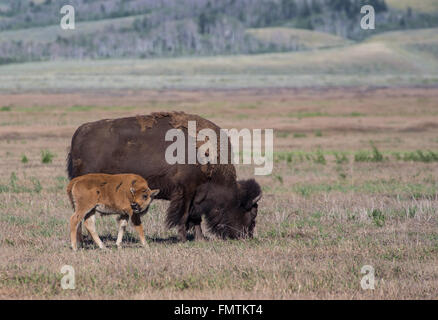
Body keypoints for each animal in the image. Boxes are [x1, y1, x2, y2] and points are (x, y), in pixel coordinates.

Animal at [66, 111, 262, 241]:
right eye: (251, 213)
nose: (247, 236)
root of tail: (80, 132)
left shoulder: (195, 196)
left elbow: (195, 218)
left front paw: (200, 238)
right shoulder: (186, 192)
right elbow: (183, 216)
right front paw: (183, 239)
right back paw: (81, 242)